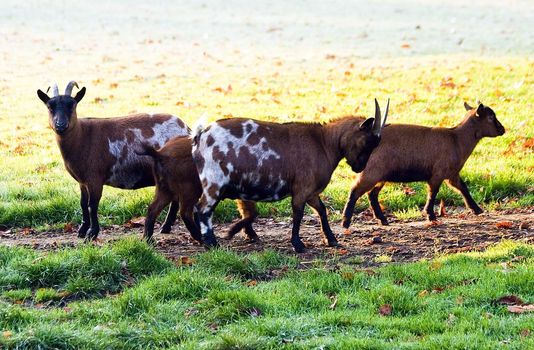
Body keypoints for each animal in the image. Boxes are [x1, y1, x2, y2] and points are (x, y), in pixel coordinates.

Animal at [36, 82, 191, 241]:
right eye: (50, 107)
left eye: (72, 105)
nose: (60, 125)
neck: (82, 136)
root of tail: (186, 129)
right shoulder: (82, 181)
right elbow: (83, 204)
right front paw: (82, 230)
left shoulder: (94, 178)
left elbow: (92, 205)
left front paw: (92, 233)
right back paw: (166, 227)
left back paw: (165, 227)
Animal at [193, 98, 390, 252]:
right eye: (367, 141)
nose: (359, 167)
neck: (323, 143)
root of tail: (200, 136)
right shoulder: (302, 189)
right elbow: (298, 214)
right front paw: (298, 244)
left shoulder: (311, 192)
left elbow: (322, 210)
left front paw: (331, 239)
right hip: (214, 182)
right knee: (203, 209)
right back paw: (211, 243)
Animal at [344, 102, 506, 227]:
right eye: (491, 117)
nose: (503, 130)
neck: (457, 139)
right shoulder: (438, 173)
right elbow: (433, 193)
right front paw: (430, 215)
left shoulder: (452, 174)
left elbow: (463, 188)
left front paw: (477, 209)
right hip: (372, 171)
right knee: (355, 191)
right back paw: (346, 221)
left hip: (380, 175)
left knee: (372, 195)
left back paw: (382, 220)